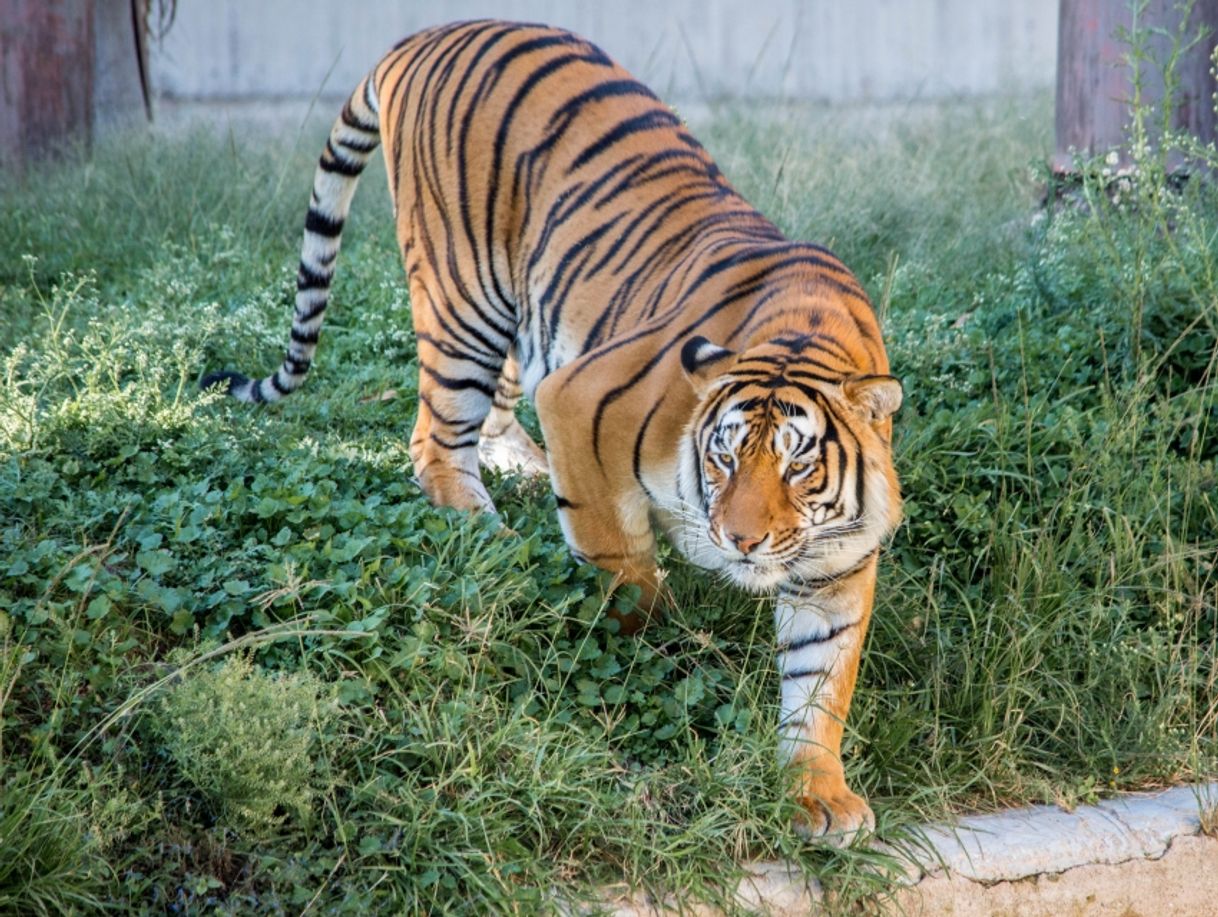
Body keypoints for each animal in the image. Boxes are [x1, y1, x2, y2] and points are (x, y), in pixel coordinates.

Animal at [202, 17, 906, 842]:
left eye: (798, 466)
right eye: (725, 456)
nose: (741, 540)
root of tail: (423, 35)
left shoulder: (836, 562)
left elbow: (819, 683)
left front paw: (817, 792)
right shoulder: (582, 399)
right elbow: (625, 569)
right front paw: (651, 647)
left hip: (523, 313)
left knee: (490, 418)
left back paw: (524, 476)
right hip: (463, 296)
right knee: (435, 440)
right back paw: (492, 537)